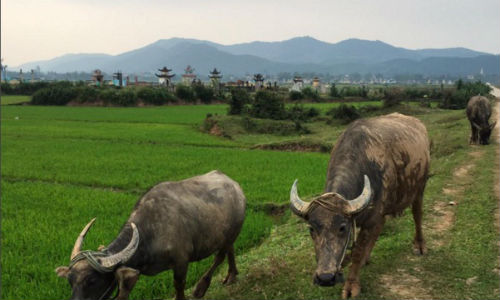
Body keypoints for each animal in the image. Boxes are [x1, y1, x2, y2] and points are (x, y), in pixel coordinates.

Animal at [55, 171, 247, 300]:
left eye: (92, 281)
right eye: (70, 281)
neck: (149, 235)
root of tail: (237, 187)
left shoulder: (181, 261)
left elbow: (179, 286)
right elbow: (123, 292)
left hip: (232, 232)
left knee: (220, 257)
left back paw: (201, 288)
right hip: (228, 234)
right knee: (230, 250)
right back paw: (232, 275)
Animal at [290, 113, 430, 298]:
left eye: (342, 227)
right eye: (311, 229)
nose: (325, 278)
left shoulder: (371, 217)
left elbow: (357, 251)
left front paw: (351, 285)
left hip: (420, 187)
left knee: (417, 214)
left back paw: (420, 245)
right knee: (381, 226)